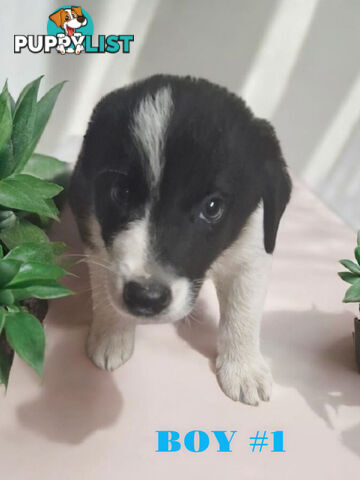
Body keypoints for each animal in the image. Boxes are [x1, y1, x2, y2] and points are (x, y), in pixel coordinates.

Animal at [69, 74, 292, 404]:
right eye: (121, 193)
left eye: (212, 208)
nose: (145, 298)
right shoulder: (94, 230)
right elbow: (104, 290)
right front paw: (111, 336)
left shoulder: (252, 248)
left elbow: (244, 310)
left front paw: (244, 368)